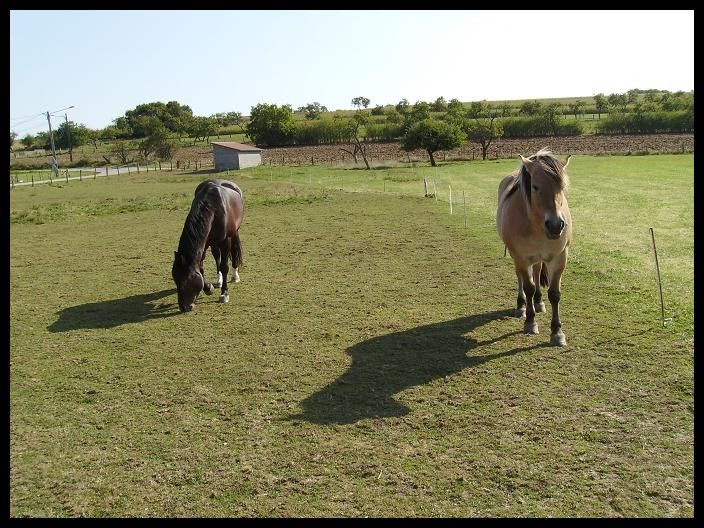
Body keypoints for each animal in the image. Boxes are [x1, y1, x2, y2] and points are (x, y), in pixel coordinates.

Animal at [172, 179, 244, 312]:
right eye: (175, 279)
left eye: (186, 279)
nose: (184, 307)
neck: (214, 209)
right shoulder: (204, 244)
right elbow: (201, 268)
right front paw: (208, 288)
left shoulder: (225, 241)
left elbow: (224, 267)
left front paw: (224, 294)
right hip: (213, 242)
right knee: (217, 257)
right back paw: (219, 280)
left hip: (235, 233)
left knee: (234, 251)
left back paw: (235, 276)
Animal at [496, 149, 572, 346]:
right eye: (535, 187)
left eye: (562, 187)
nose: (555, 225)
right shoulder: (521, 257)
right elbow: (528, 287)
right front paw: (530, 322)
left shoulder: (559, 257)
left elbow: (554, 293)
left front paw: (557, 332)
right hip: (518, 258)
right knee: (522, 279)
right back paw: (522, 306)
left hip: (538, 258)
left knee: (537, 273)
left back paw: (538, 302)